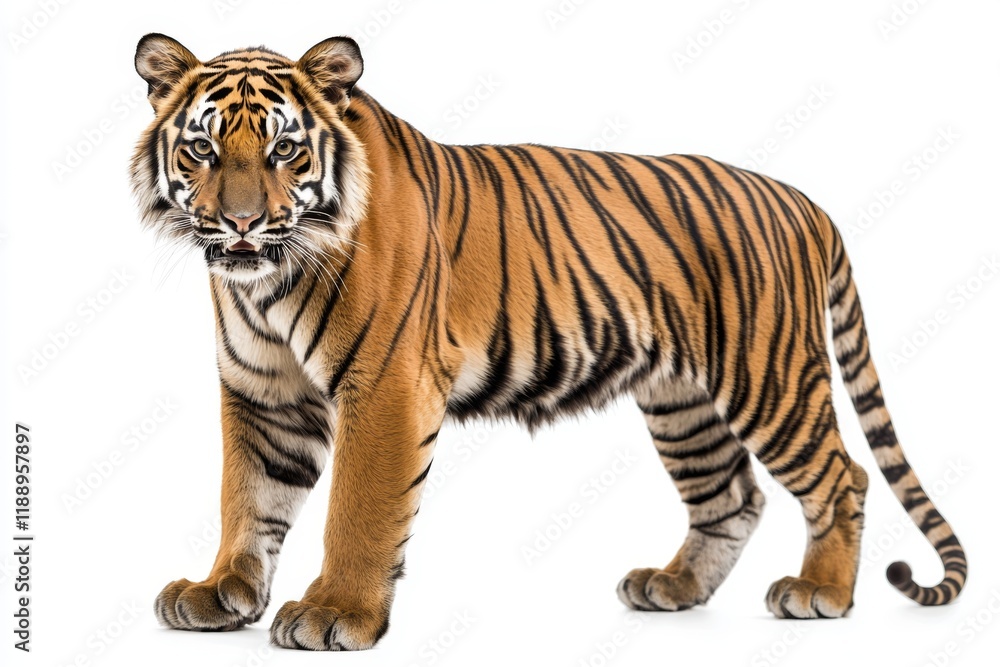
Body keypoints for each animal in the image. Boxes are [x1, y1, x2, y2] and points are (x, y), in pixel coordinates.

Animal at [130, 34, 967, 651]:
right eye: (204, 150)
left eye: (284, 151)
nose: (239, 223)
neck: (267, 278)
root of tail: (802, 200)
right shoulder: (262, 391)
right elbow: (248, 496)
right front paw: (221, 593)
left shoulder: (386, 384)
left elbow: (358, 508)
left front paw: (336, 611)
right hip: (684, 401)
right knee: (732, 495)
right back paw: (673, 587)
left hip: (769, 376)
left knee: (841, 476)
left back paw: (820, 592)